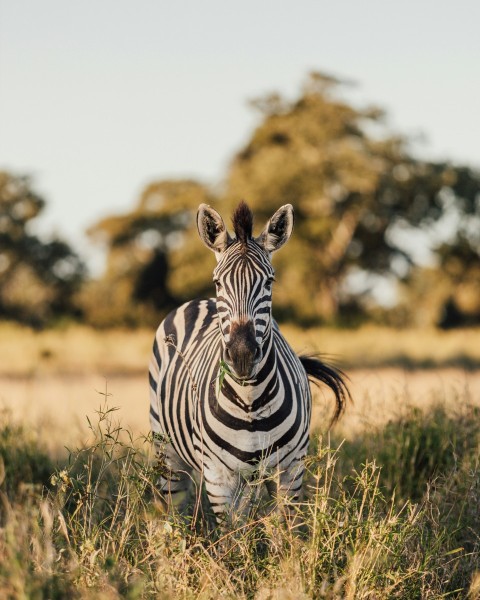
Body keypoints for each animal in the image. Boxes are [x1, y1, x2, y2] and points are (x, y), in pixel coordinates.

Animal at [148, 202, 346, 520]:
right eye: (217, 282)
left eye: (270, 281)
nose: (242, 355)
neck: (251, 400)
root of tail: (199, 301)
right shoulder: (218, 478)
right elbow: (231, 533)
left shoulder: (290, 472)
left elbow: (284, 531)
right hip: (167, 452)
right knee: (171, 510)